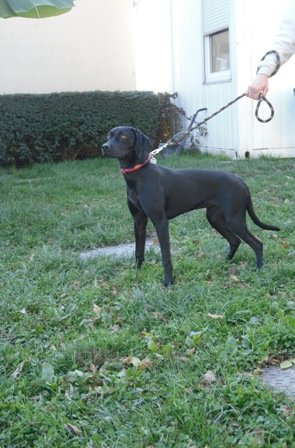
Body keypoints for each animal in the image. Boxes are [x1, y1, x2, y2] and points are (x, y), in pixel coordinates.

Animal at [103, 126, 280, 286]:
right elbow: (138, 251)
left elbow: (166, 256)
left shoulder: (160, 222)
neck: (139, 175)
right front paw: (137, 273)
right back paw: (225, 262)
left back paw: (258, 268)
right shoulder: (138, 221)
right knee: (235, 240)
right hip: (215, 219)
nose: (104, 147)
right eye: (108, 136)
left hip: (234, 220)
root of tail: (240, 180)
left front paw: (168, 282)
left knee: (257, 244)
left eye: (123, 137)